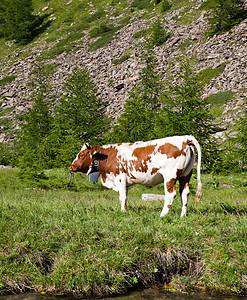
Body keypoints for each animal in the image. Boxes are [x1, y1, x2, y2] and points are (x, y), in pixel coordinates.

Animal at [68, 135, 202, 217]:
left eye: (81, 155)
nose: (71, 166)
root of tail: (185, 138)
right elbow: (125, 197)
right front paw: (125, 210)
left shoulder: (120, 179)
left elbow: (122, 197)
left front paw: (123, 212)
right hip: (186, 174)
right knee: (184, 193)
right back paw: (182, 216)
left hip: (170, 175)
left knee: (170, 194)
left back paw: (162, 215)